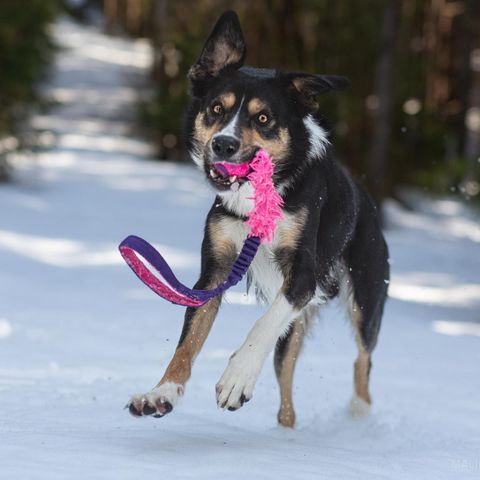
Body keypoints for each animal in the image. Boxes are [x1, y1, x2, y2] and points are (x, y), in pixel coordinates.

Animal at [128, 10, 390, 428]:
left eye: (263, 117)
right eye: (216, 109)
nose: (223, 144)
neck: (258, 198)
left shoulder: (303, 276)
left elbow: (262, 325)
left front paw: (236, 378)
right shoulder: (214, 272)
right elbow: (187, 343)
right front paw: (161, 393)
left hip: (366, 295)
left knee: (363, 357)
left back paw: (359, 411)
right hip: (296, 331)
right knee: (286, 379)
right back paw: (286, 431)